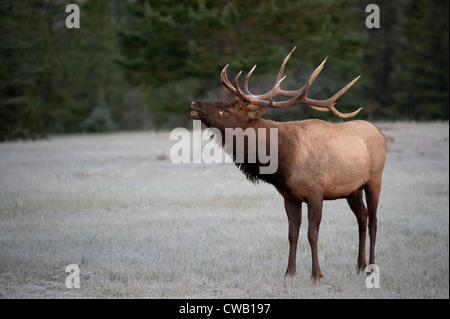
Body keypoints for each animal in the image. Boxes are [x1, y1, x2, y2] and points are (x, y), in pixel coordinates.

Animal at [190, 47, 386, 282]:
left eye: (226, 110)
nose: (194, 104)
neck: (283, 160)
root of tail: (380, 133)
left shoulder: (315, 193)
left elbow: (312, 234)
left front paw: (316, 275)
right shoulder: (289, 197)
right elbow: (292, 234)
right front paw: (289, 272)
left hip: (375, 180)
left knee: (374, 220)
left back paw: (372, 267)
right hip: (352, 190)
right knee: (362, 218)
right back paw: (360, 264)